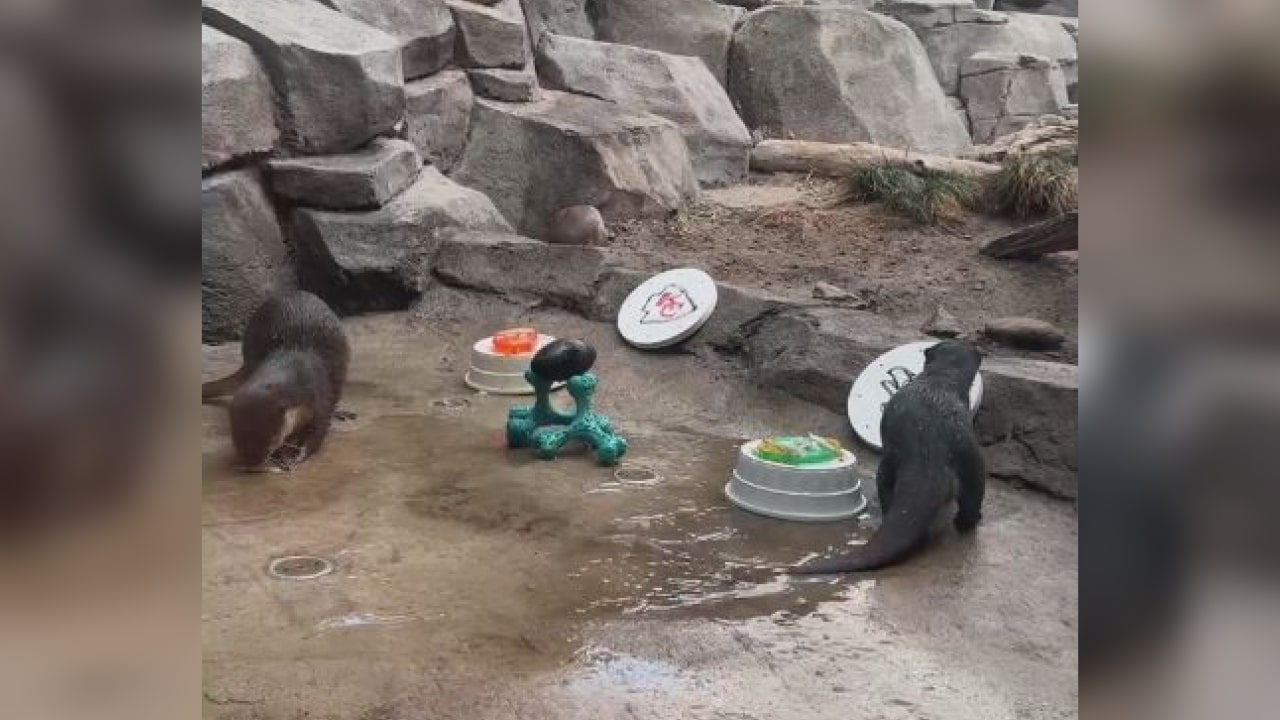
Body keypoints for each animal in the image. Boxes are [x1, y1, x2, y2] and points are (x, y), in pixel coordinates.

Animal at [202, 291, 349, 472]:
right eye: (235, 438)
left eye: (272, 439)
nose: (251, 464)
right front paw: (283, 454)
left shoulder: (320, 395)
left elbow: (319, 431)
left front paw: (298, 455)